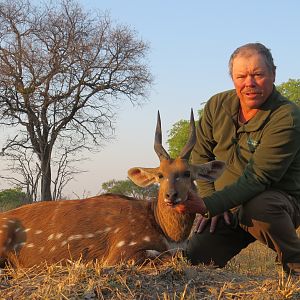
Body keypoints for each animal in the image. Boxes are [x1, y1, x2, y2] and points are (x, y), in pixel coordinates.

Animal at [0, 110, 225, 268]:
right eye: (160, 174)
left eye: (187, 173)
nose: (171, 195)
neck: (168, 233)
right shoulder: (121, 250)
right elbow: (168, 256)